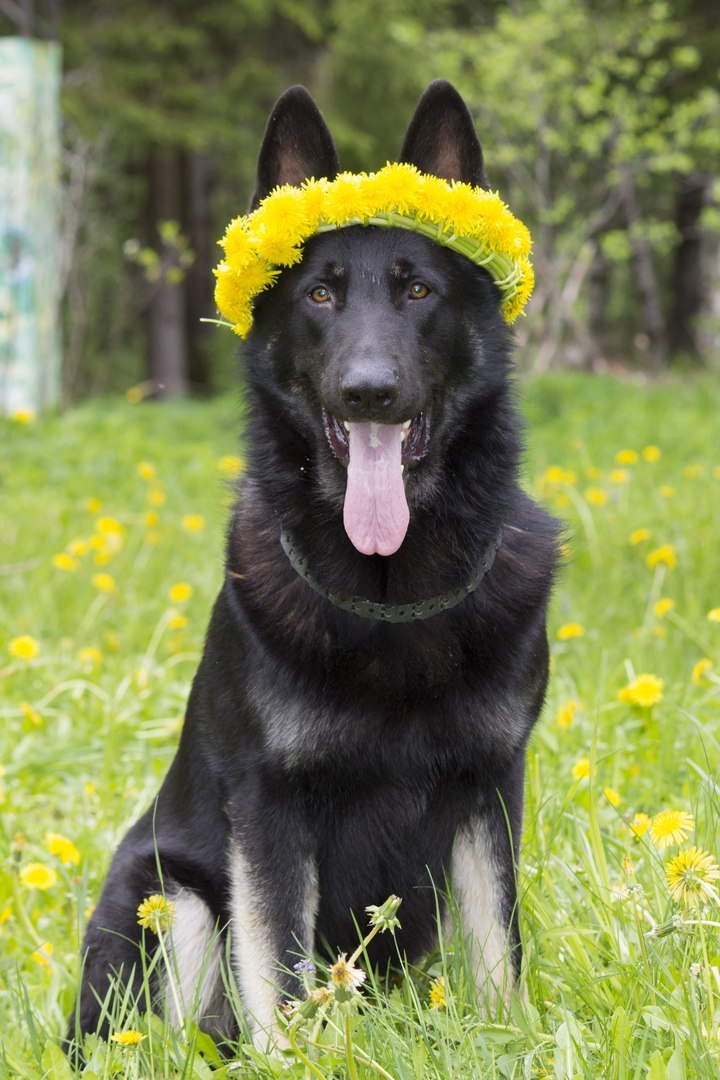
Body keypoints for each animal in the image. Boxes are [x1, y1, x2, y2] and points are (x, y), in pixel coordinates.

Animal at [70, 79, 561, 1049]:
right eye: (323, 295)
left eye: (418, 289)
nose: (369, 392)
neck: (387, 588)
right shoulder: (268, 808)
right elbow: (282, 970)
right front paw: (297, 1055)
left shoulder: (490, 790)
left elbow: (498, 945)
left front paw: (508, 1039)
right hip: (170, 893)